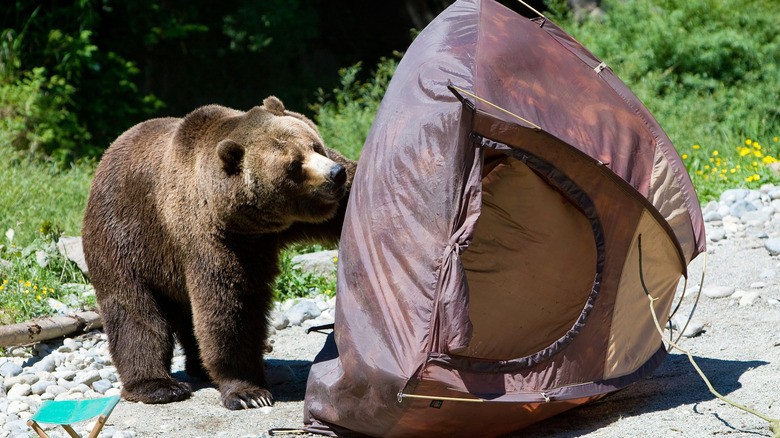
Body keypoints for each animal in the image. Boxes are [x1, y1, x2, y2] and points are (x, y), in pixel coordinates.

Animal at [81, 96, 355, 410]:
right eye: (294, 165)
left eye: (315, 145)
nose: (336, 174)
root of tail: (107, 155)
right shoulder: (214, 237)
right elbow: (230, 305)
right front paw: (249, 391)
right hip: (125, 238)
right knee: (135, 312)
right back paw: (158, 385)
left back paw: (198, 367)